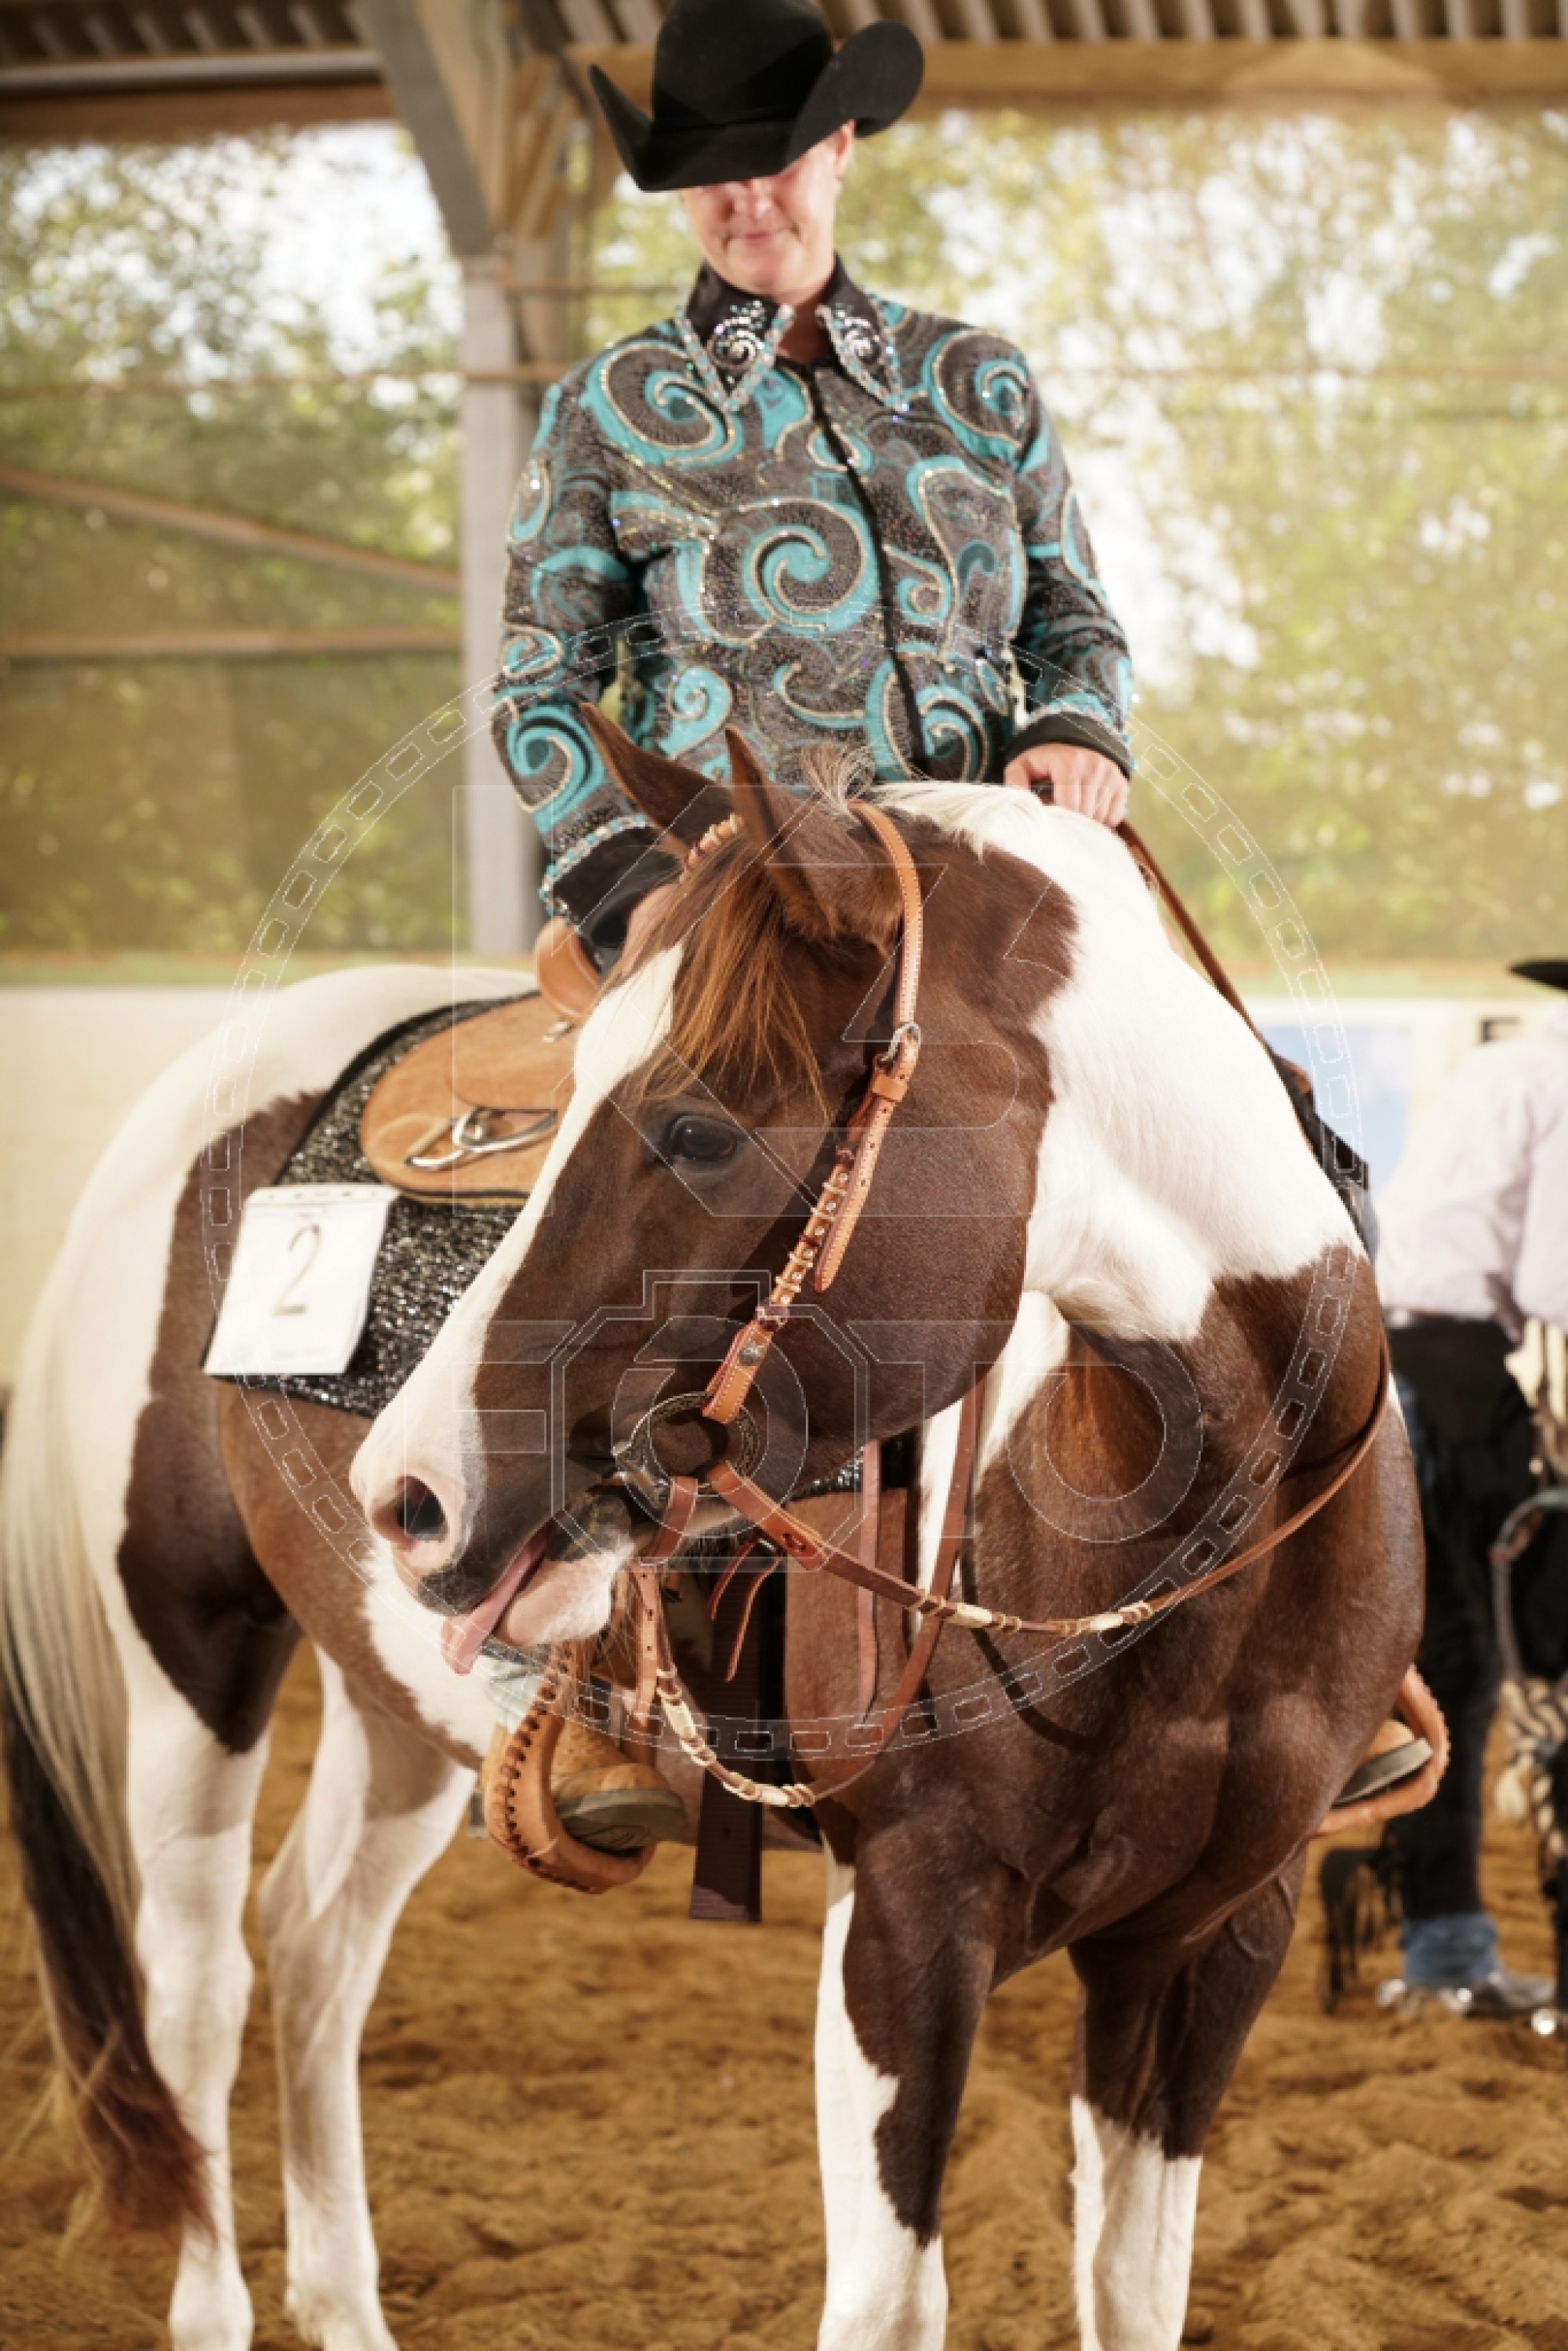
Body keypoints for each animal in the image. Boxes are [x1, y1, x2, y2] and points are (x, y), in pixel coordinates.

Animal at [0, 724, 1424, 2351]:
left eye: (697, 1124)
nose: (407, 1489)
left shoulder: (1212, 1938)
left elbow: (1137, 2286)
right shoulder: (906, 1924)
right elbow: (893, 2302)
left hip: (398, 1693)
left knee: (315, 1947)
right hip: (187, 1638)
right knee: (195, 1989)